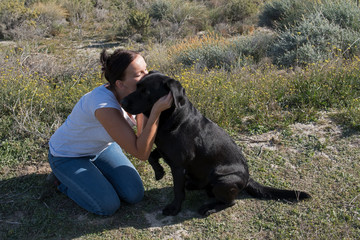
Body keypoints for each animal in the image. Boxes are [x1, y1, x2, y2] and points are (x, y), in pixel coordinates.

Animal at [120, 71, 310, 216]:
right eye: (136, 87)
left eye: (146, 92)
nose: (122, 102)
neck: (173, 118)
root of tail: (248, 178)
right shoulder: (165, 149)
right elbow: (152, 156)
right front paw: (159, 172)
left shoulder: (178, 164)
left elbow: (177, 190)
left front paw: (174, 208)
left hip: (221, 179)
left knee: (230, 202)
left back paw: (209, 208)